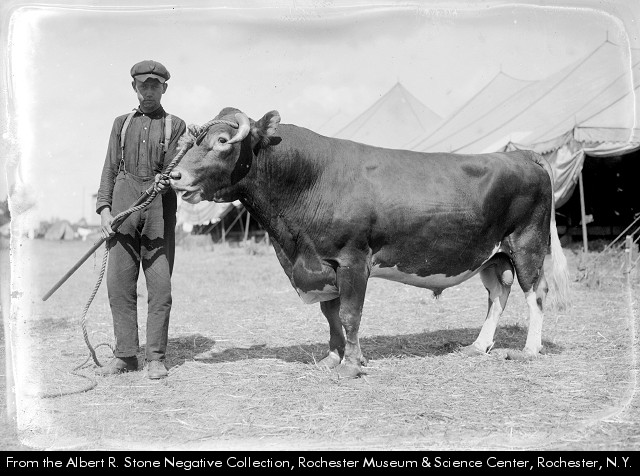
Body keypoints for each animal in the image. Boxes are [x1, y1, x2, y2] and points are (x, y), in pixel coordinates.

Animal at [169, 107, 571, 378]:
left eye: (222, 142)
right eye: (194, 141)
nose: (174, 175)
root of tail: (521, 154)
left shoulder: (352, 260)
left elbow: (350, 314)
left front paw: (351, 365)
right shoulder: (322, 263)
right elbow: (331, 315)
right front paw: (333, 358)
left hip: (527, 244)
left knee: (535, 292)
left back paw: (529, 350)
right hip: (492, 254)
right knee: (498, 293)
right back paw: (477, 346)